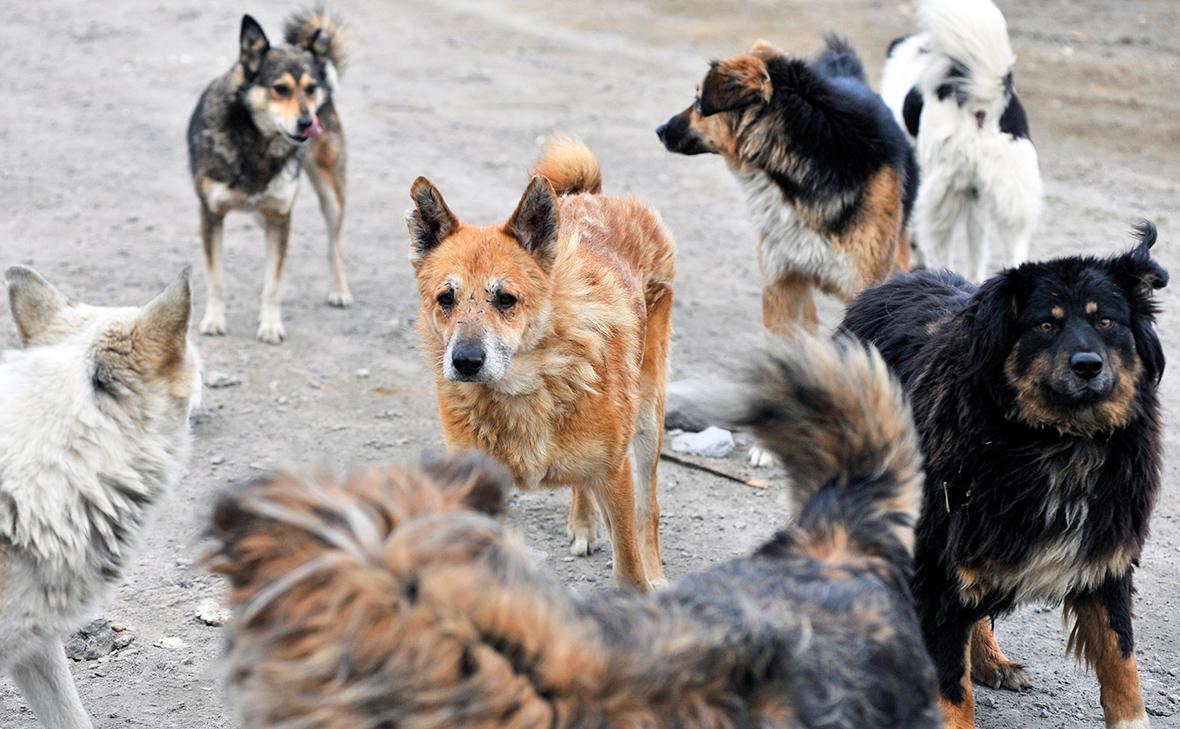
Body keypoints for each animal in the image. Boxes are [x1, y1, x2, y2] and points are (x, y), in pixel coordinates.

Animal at [187, 9, 349, 342]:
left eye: (310, 88)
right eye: (280, 88)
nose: (308, 123)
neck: (257, 143)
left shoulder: (281, 217)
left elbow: (273, 283)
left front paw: (271, 326)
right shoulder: (211, 215)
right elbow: (216, 277)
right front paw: (214, 320)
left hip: (330, 194)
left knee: (334, 242)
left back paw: (339, 289)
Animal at [844, 224, 1165, 721]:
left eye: (1106, 322)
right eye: (1046, 324)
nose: (1088, 366)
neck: (1059, 441)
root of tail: (890, 284)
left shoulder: (1104, 554)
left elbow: (1122, 662)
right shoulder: (939, 561)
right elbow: (950, 689)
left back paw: (990, 660)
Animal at [882, 0, 1047, 278]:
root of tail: (982, 104)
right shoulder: (976, 197)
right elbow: (977, 249)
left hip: (940, 197)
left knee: (939, 251)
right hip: (1012, 197)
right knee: (1012, 252)